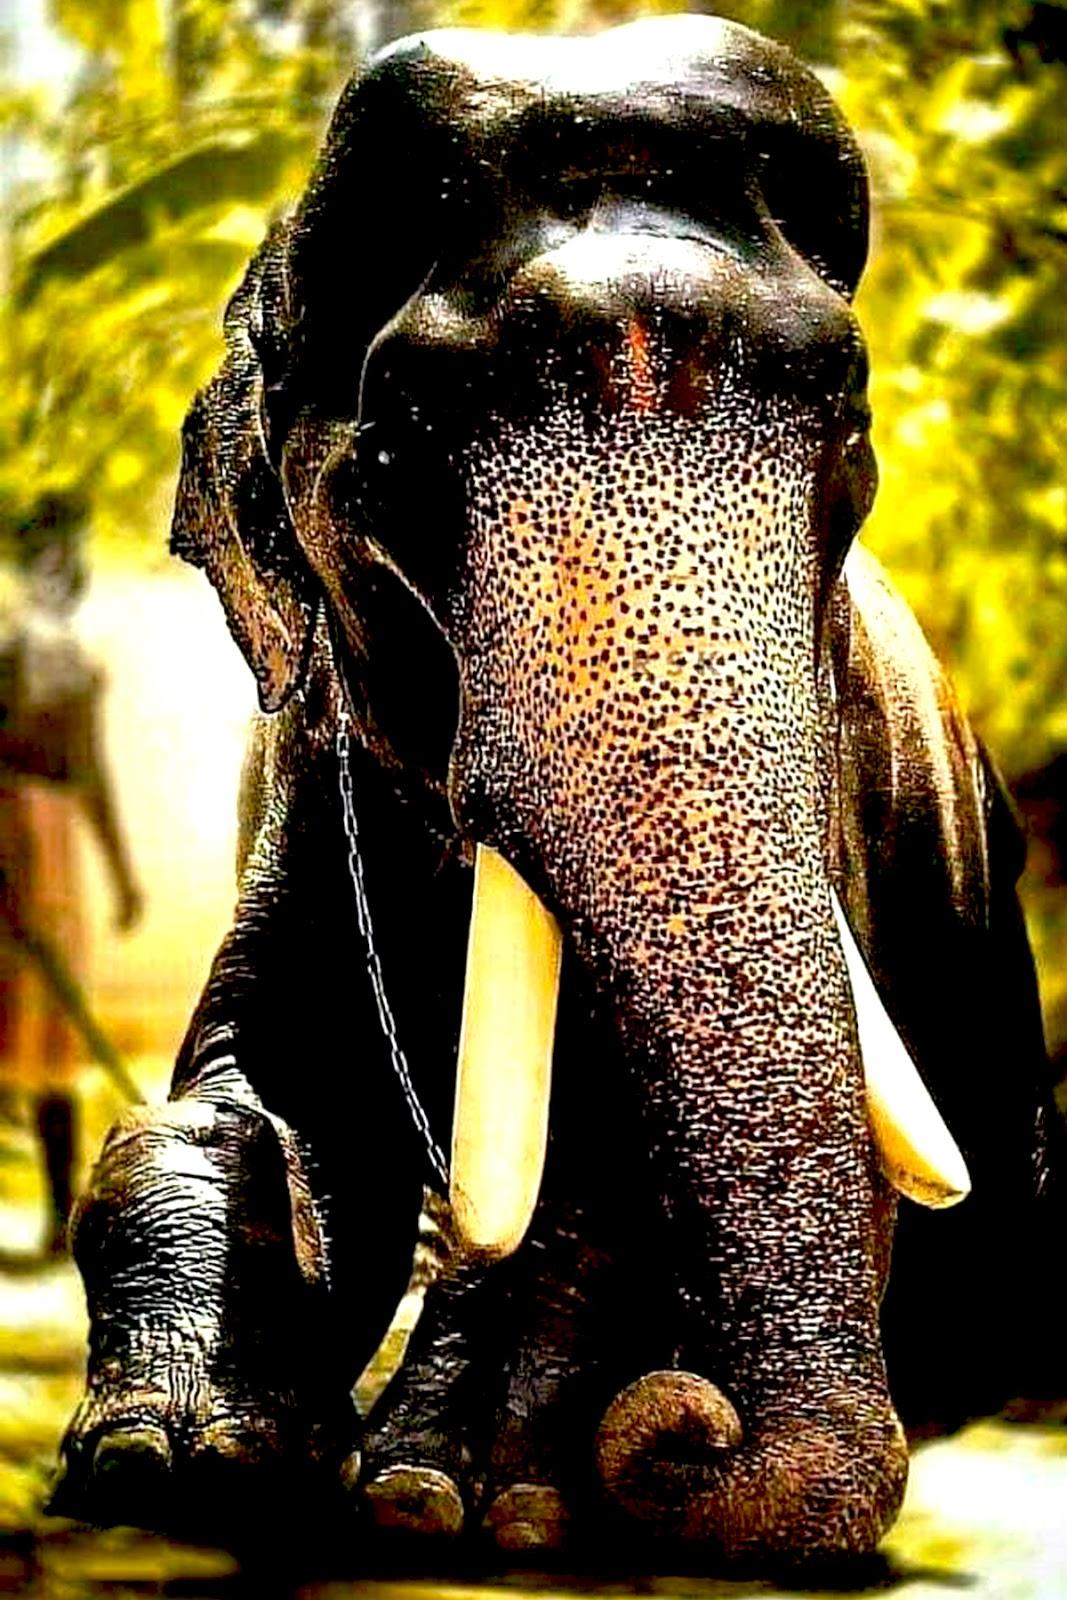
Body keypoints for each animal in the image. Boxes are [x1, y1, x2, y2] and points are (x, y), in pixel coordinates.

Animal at [51, 12, 1066, 1567]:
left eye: (848, 419)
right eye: (397, 438)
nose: (692, 1432)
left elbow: (606, 1161)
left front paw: (453, 1496)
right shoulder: (307, 775)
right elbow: (262, 1094)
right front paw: (178, 1459)